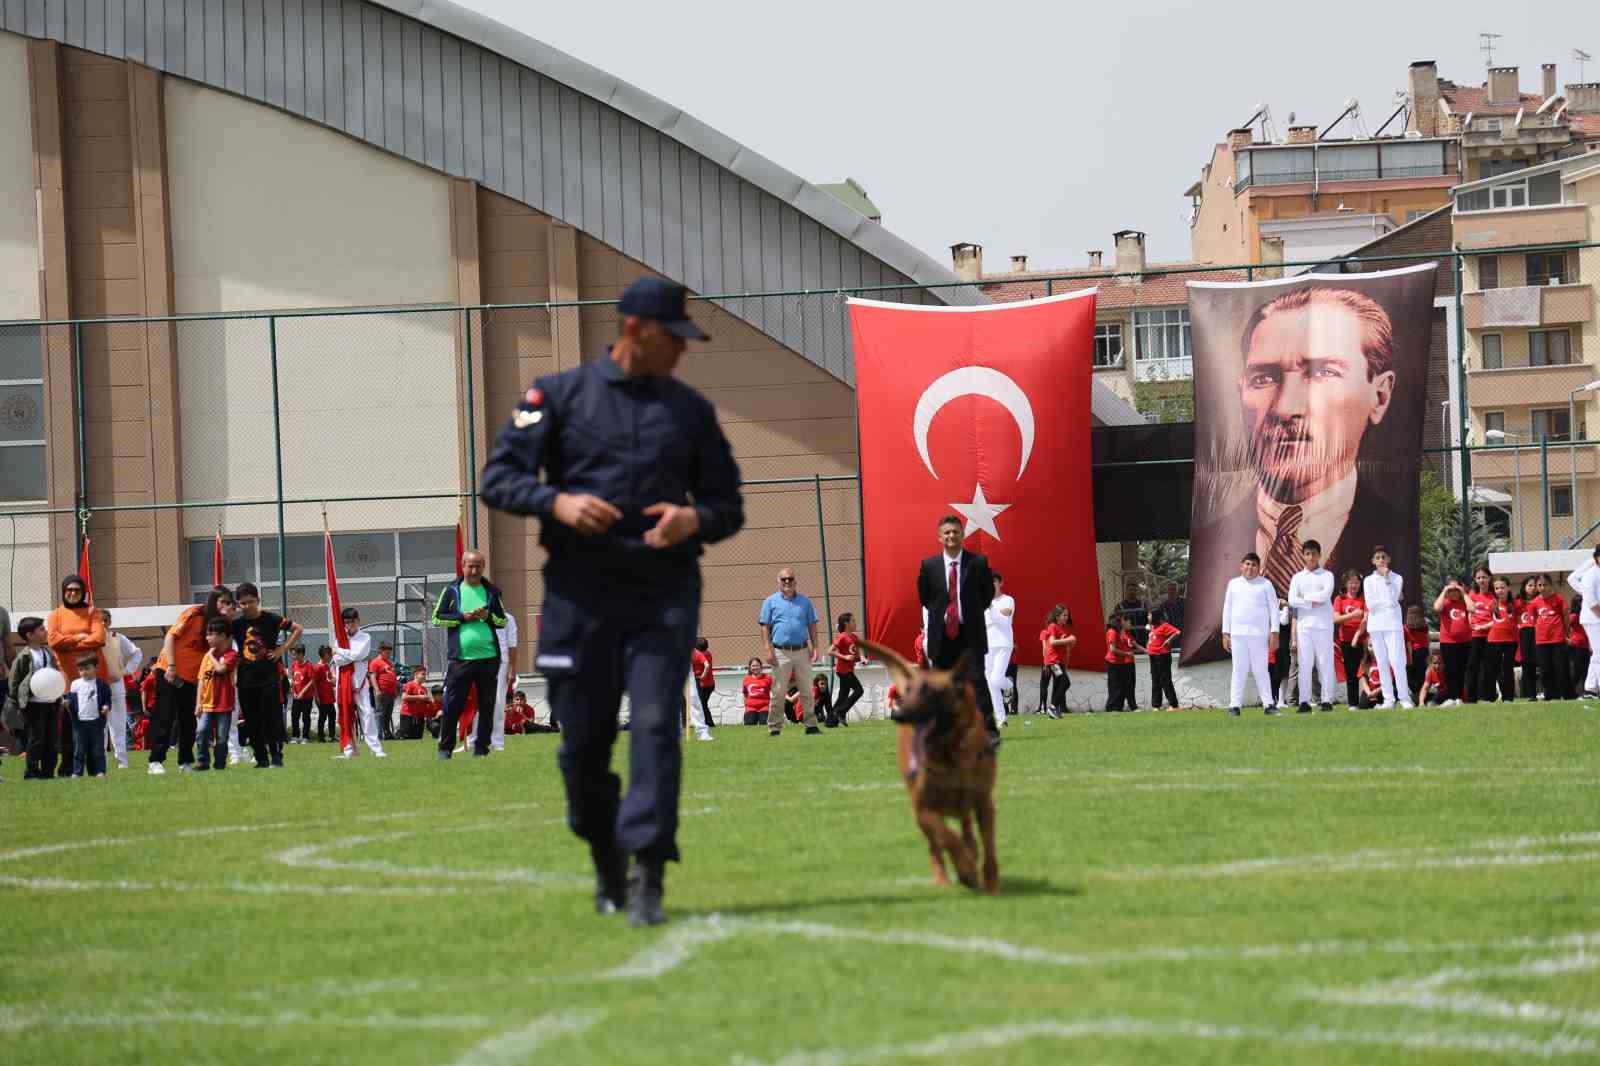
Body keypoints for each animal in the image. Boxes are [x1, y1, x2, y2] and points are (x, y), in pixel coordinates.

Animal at [857, 640, 992, 889]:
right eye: (910, 692)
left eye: (932, 693)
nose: (898, 715)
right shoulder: (924, 808)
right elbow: (946, 837)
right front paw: (964, 869)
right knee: (940, 842)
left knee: (965, 829)